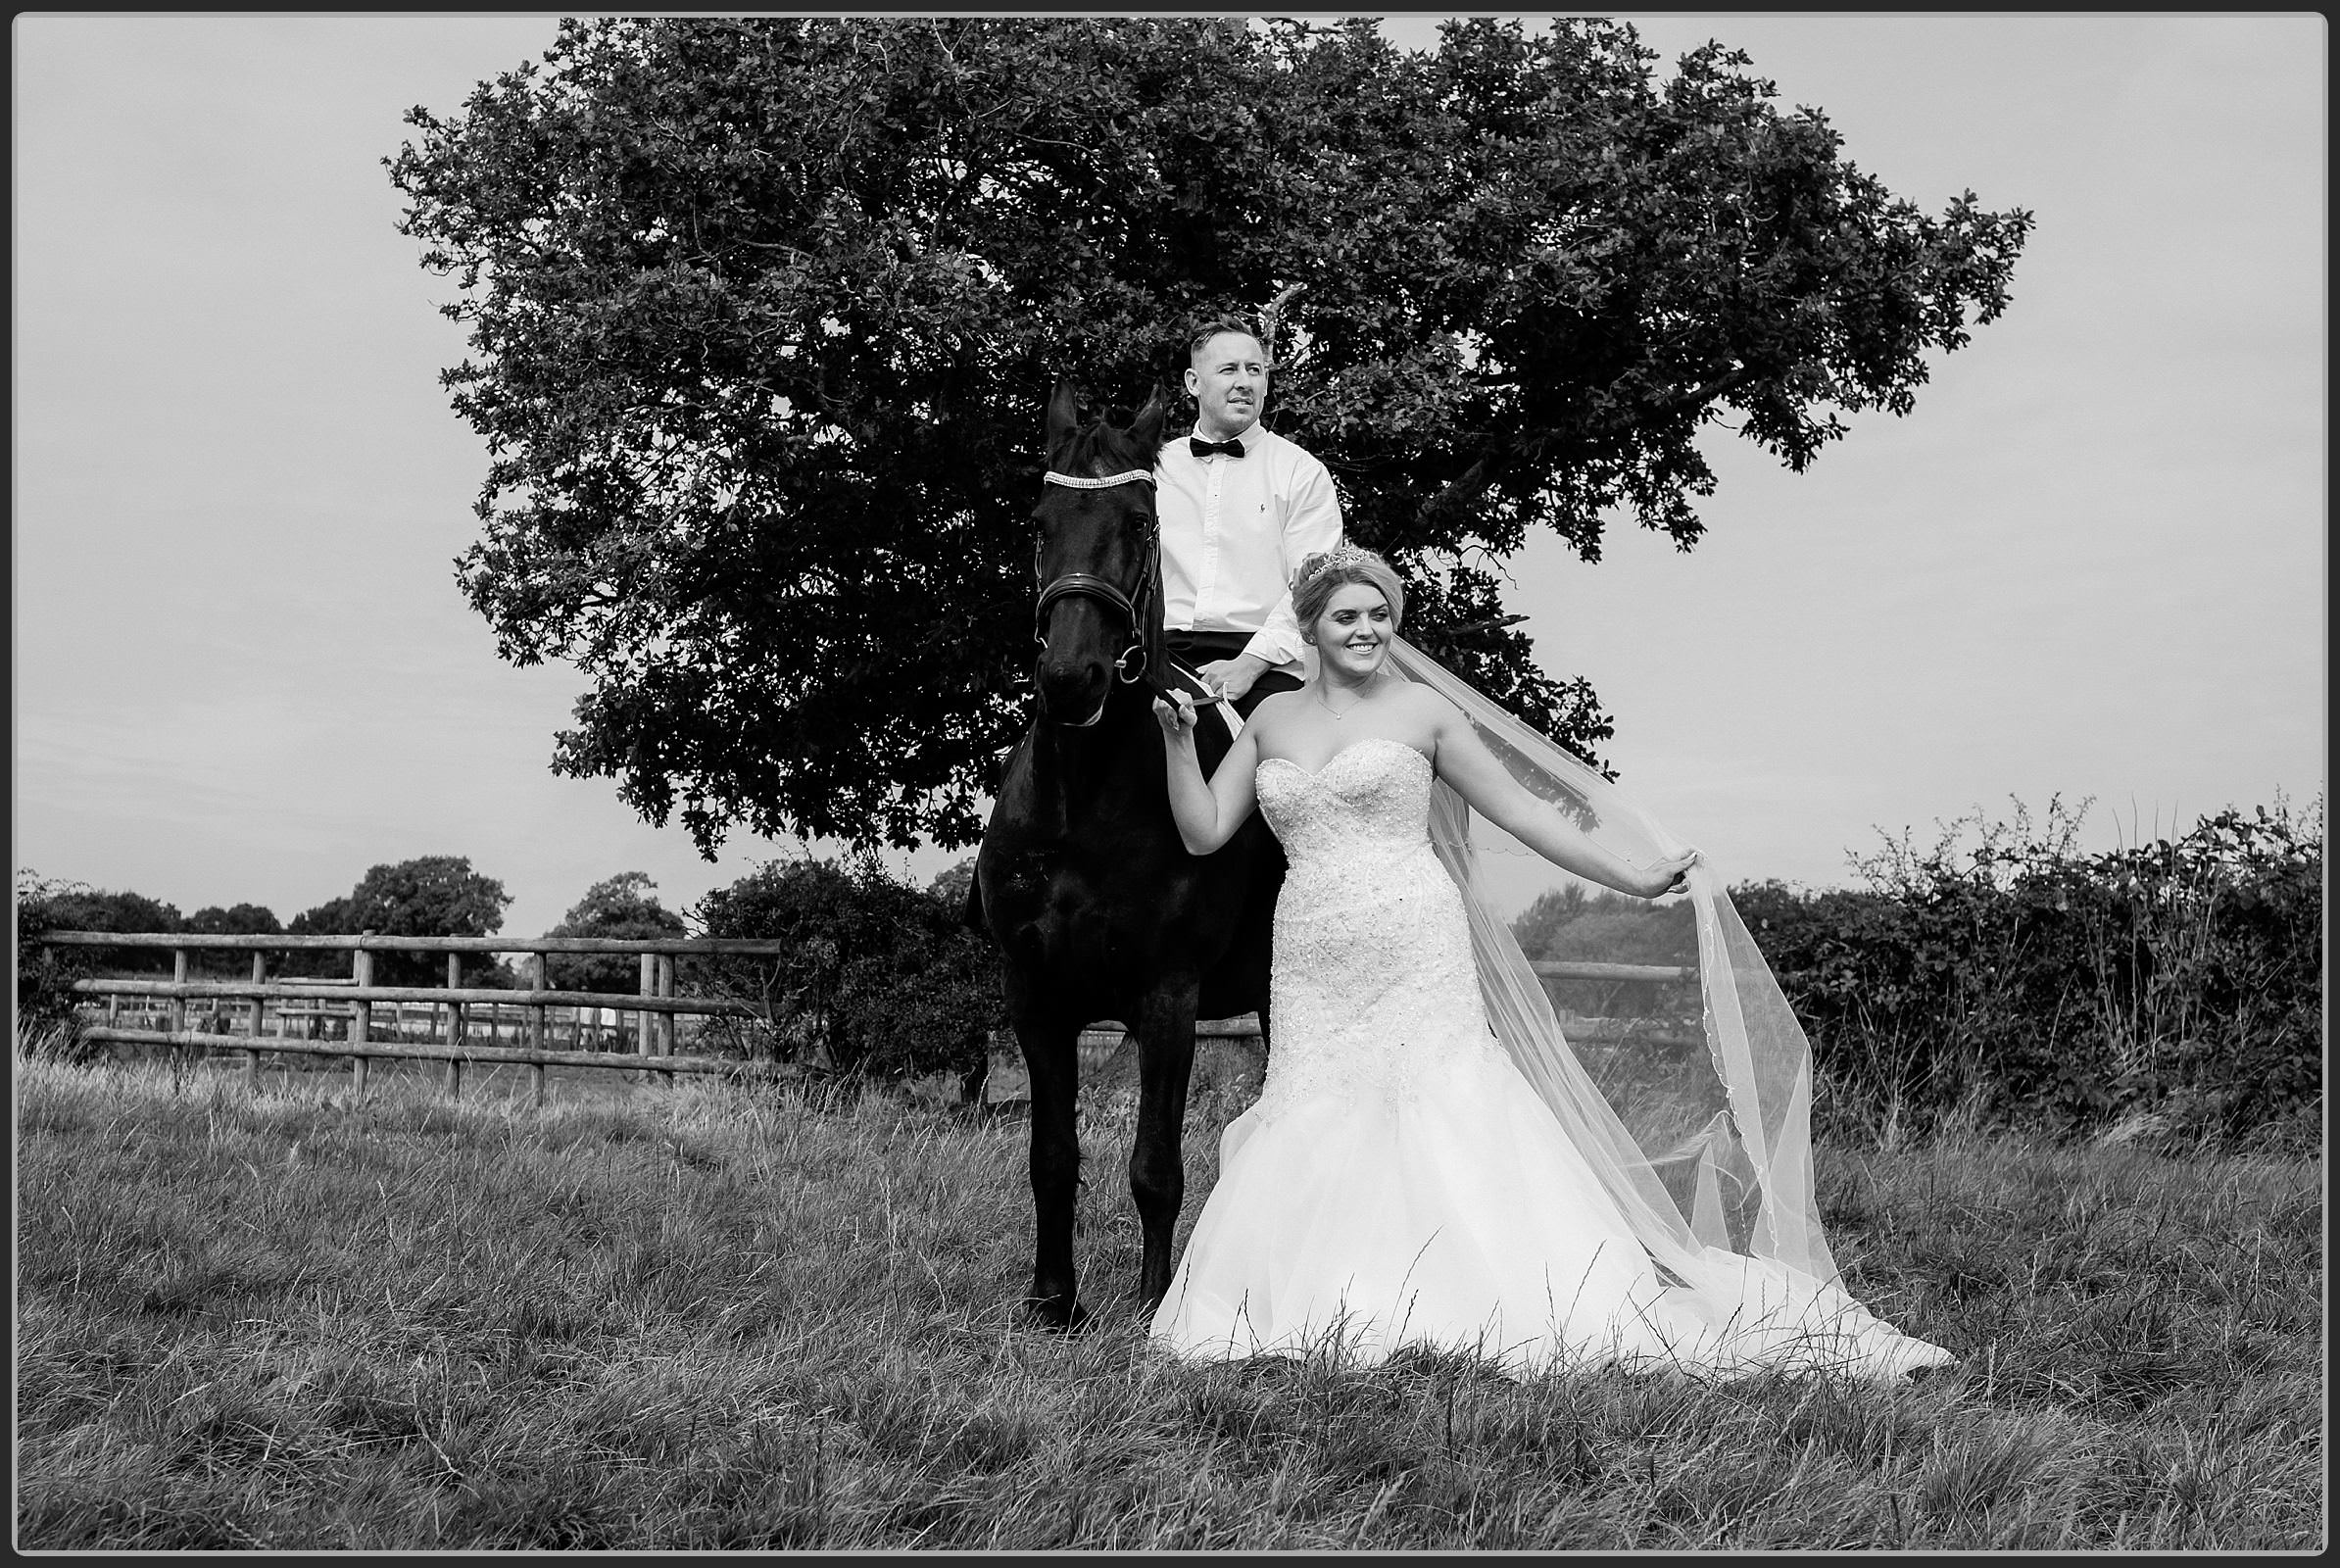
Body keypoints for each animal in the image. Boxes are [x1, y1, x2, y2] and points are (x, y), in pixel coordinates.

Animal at [978, 374, 1292, 1329]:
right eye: (1038, 522)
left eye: (1142, 526)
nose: (1070, 680)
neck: (1085, 802)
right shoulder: (1037, 1000)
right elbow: (1051, 1158)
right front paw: (1053, 1301)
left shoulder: (1167, 999)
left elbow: (1156, 1166)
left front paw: (1155, 1309)